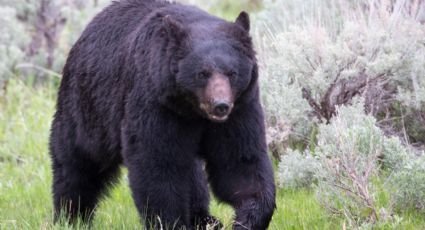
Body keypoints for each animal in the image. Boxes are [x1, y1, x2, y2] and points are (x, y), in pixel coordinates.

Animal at [49, 0, 274, 229]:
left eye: (232, 73)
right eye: (202, 73)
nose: (220, 105)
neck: (192, 110)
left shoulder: (240, 109)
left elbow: (239, 162)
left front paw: (247, 219)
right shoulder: (156, 103)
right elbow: (157, 164)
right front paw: (169, 222)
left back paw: (204, 218)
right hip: (89, 106)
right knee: (77, 161)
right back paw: (71, 215)